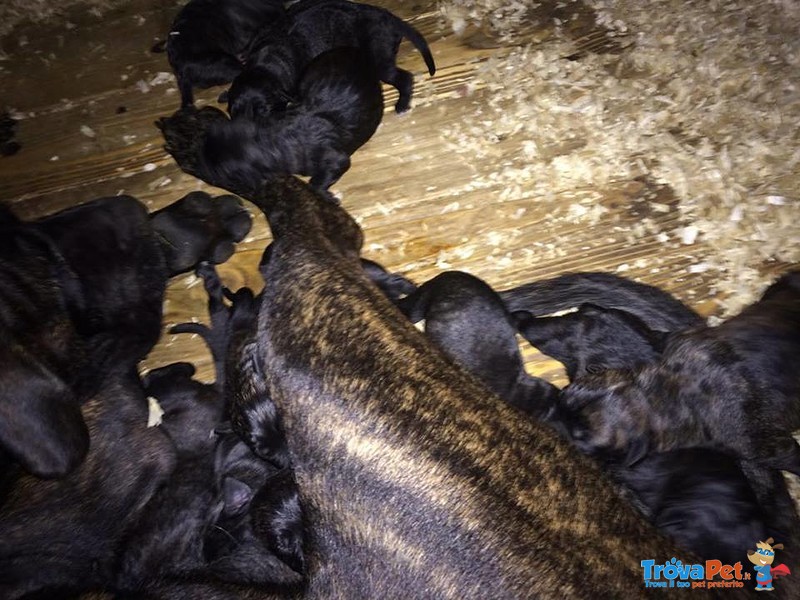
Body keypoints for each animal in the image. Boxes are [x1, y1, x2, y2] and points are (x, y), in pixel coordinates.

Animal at [225, 0, 438, 119]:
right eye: (233, 113)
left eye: (265, 110)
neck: (265, 63)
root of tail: (388, 17)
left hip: (379, 58)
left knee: (405, 78)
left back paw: (402, 105)